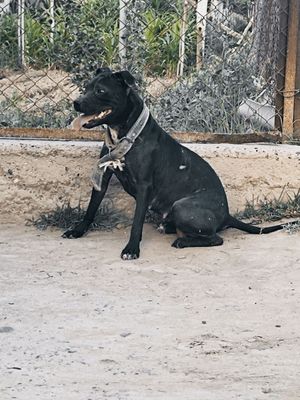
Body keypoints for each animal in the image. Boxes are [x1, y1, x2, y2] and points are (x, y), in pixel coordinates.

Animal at [63, 69, 298, 260]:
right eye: (86, 88)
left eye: (100, 91)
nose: (76, 102)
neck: (127, 134)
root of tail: (227, 215)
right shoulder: (104, 175)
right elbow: (91, 208)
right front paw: (78, 230)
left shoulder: (144, 186)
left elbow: (136, 222)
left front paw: (131, 249)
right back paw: (168, 227)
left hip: (182, 206)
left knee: (216, 239)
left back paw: (182, 240)